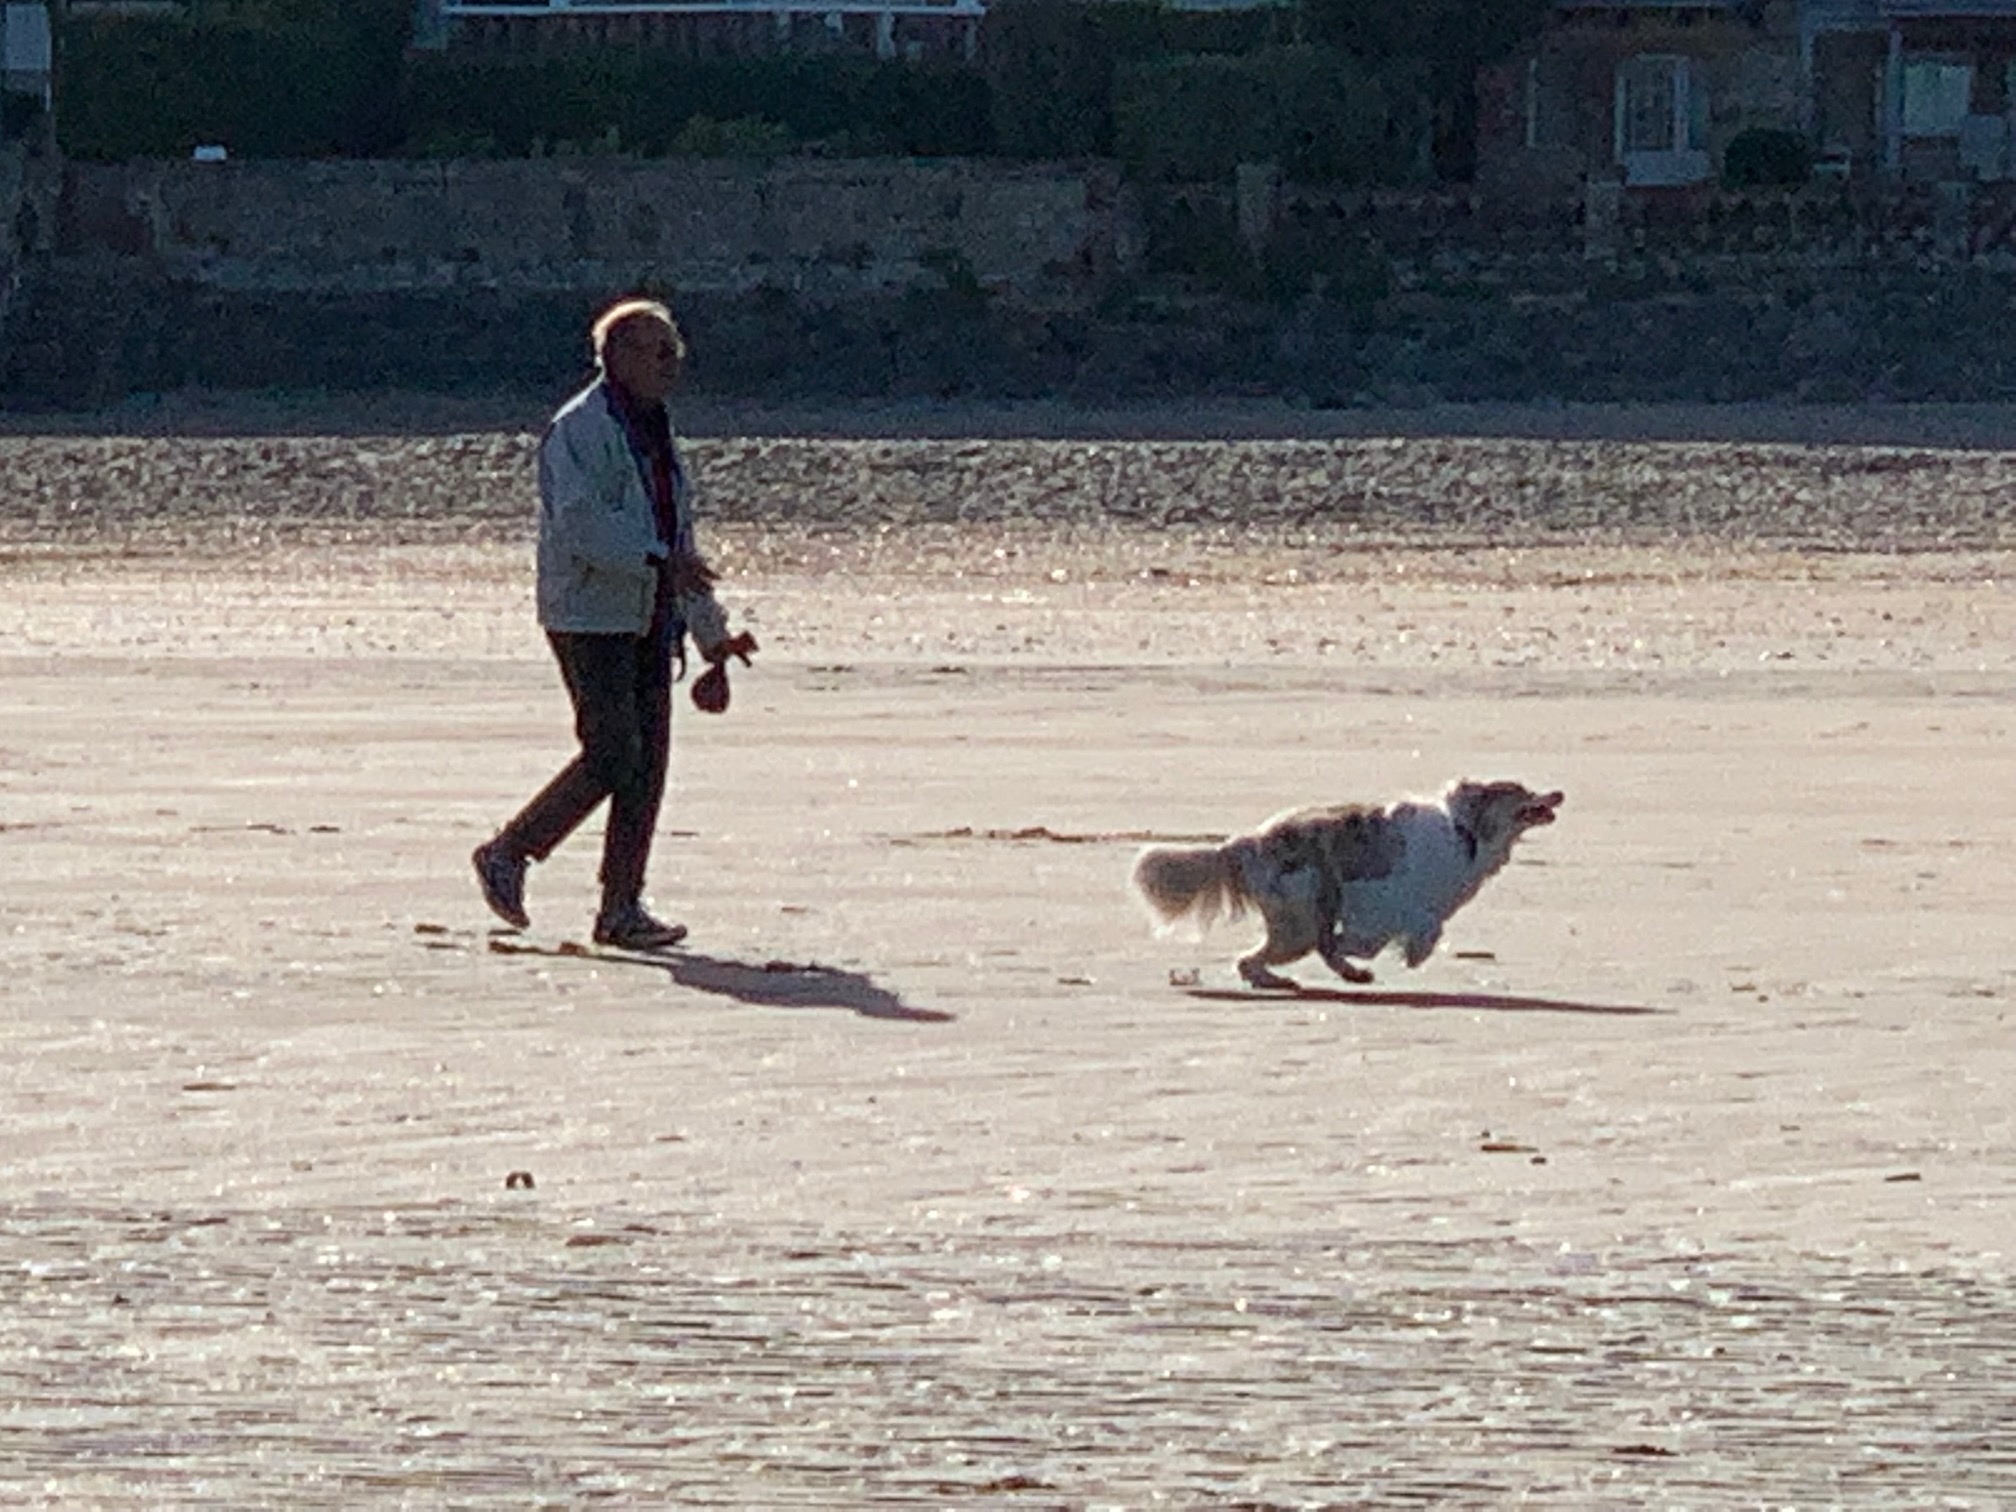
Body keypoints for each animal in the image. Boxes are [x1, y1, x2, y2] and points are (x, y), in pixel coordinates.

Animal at [1137, 782, 1556, 995]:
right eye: (1521, 791)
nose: (1559, 794)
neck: (1466, 831)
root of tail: (1245, 844)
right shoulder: (1390, 903)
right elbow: (1410, 933)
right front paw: (1405, 954)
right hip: (1302, 918)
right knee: (1257, 957)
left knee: (1263, 957)